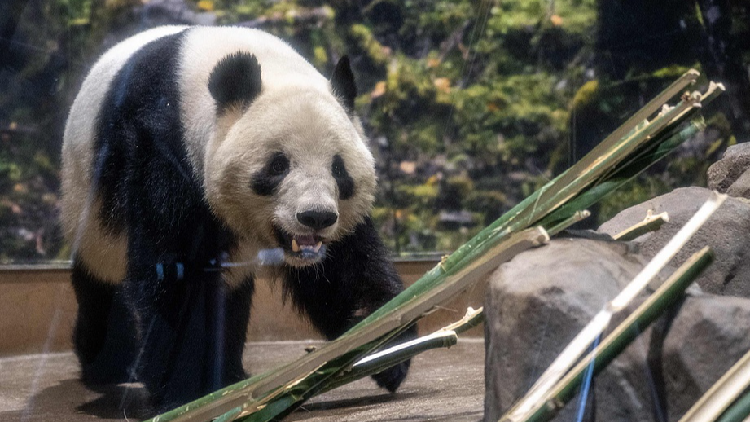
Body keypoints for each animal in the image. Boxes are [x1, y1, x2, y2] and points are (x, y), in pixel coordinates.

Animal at [60, 25, 415, 411]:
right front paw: (183, 391)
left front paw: (386, 344)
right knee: (101, 277)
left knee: (230, 292)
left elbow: (345, 269)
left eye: (338, 168)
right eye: (277, 165)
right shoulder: (161, 146)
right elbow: (173, 272)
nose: (315, 217)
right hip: (89, 197)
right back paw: (107, 364)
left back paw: (229, 371)